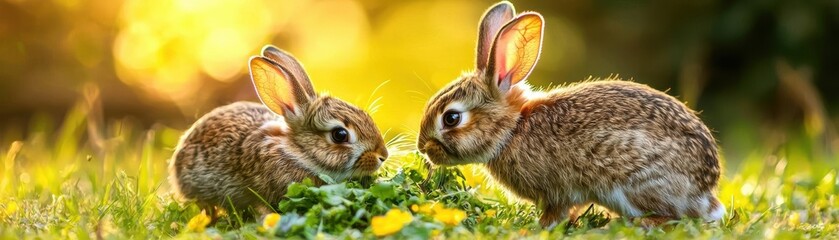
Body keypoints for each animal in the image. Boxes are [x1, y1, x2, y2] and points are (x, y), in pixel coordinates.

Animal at [416, 1, 724, 229]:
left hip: (635, 183)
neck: (512, 130)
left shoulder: (558, 191)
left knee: (672, 218)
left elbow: (557, 212)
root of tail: (705, 192)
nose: (422, 148)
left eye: (451, 118)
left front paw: (539, 228)